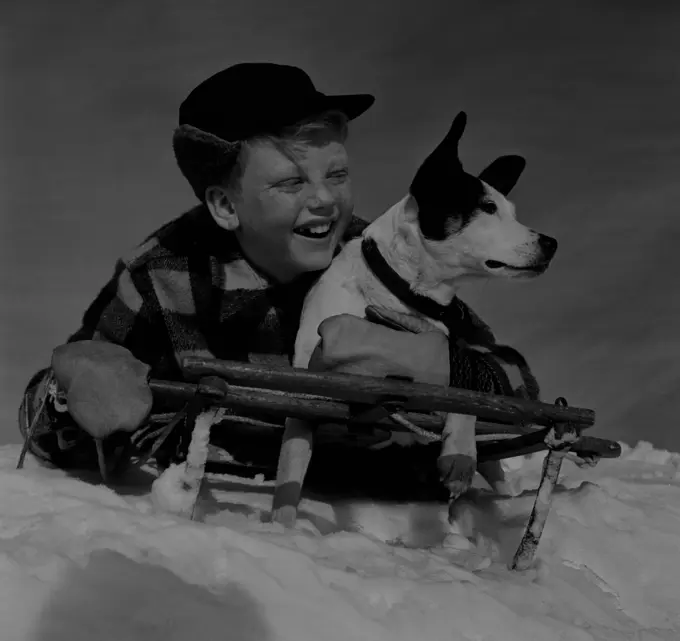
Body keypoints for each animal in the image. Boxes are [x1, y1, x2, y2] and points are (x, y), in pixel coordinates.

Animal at [270, 112, 556, 548]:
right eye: (487, 207)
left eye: (509, 209)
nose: (551, 243)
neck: (399, 291)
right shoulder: (305, 399)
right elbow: (290, 470)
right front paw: (280, 530)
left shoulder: (452, 353)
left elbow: (462, 390)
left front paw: (459, 451)